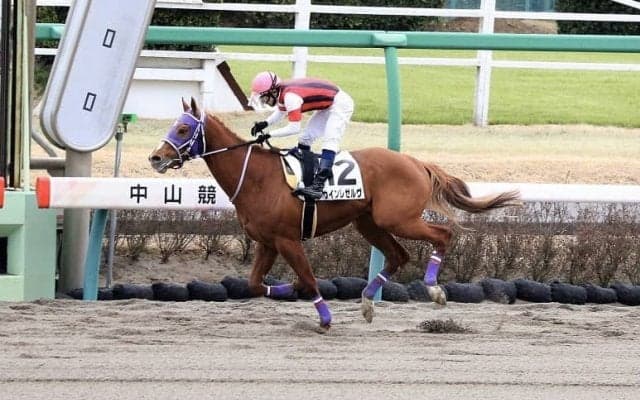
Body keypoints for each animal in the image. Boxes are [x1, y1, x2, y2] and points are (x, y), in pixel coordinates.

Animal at [149, 97, 520, 329]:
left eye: (183, 129)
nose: (156, 157)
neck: (255, 175)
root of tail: (416, 162)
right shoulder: (267, 242)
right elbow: (255, 284)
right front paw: (291, 289)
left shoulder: (287, 240)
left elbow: (309, 278)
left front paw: (324, 319)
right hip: (368, 222)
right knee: (397, 256)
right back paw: (368, 302)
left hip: (397, 218)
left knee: (442, 235)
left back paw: (434, 289)